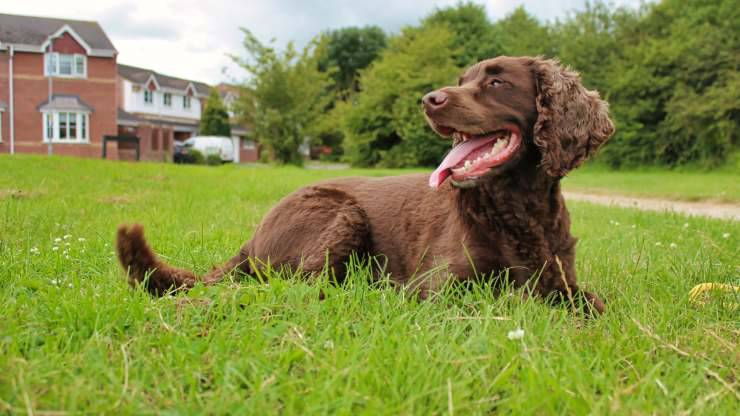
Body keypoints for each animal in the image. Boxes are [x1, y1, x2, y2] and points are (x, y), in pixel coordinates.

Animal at [115, 57, 612, 314]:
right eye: (462, 80)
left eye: (495, 81)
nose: (429, 100)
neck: (515, 208)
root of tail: (253, 237)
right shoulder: (441, 288)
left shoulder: (562, 279)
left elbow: (593, 303)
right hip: (340, 212)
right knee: (299, 286)